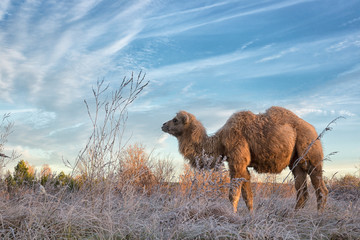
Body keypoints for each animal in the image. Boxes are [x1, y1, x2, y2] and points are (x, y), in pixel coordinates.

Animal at [162, 106, 328, 212]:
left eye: (175, 120)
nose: (163, 125)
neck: (220, 141)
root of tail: (314, 131)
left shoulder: (237, 161)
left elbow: (233, 195)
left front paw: (232, 216)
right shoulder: (243, 166)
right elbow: (248, 196)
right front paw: (250, 217)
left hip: (311, 154)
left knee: (321, 190)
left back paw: (319, 217)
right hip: (296, 164)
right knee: (302, 192)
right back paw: (295, 216)